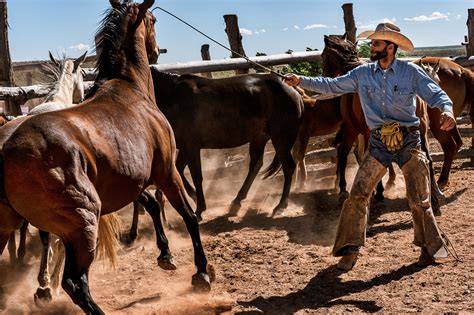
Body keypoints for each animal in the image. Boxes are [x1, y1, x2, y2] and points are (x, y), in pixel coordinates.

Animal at [0, 0, 209, 314]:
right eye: (153, 19)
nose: (156, 51)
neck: (130, 87)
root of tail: (6, 151)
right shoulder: (166, 171)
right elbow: (188, 214)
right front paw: (202, 273)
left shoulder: (127, 181)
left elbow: (150, 204)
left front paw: (166, 255)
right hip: (83, 223)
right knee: (75, 282)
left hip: (7, 227)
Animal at [149, 69, 304, 222]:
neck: (173, 94)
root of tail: (294, 91)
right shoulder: (184, 147)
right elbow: (180, 171)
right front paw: (194, 197)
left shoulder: (191, 146)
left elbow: (197, 176)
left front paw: (199, 209)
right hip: (259, 138)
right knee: (256, 165)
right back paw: (236, 202)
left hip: (281, 139)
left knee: (288, 166)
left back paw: (280, 206)